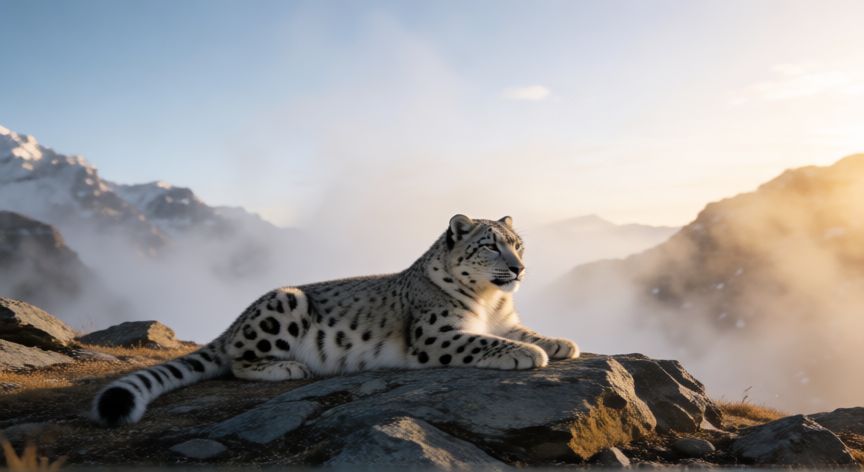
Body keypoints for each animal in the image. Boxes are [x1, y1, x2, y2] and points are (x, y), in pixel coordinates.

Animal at [92, 214, 580, 425]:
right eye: (491, 245)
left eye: (519, 243)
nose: (518, 268)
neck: (489, 301)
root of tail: (234, 321)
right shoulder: (437, 334)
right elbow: (483, 341)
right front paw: (527, 353)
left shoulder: (505, 319)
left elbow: (523, 330)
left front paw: (560, 342)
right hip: (283, 305)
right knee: (237, 359)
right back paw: (288, 367)